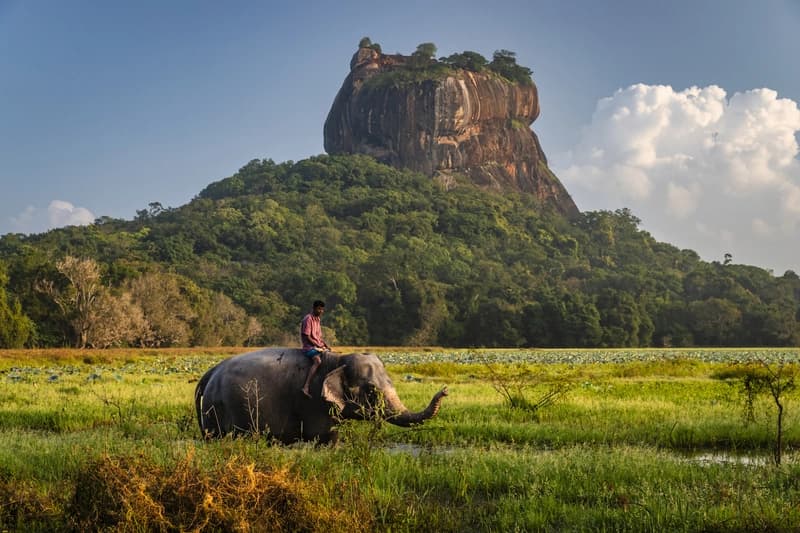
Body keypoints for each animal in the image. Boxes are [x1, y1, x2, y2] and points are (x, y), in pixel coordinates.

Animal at [194, 348, 448, 444]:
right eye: (372, 391)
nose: (444, 390)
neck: (337, 359)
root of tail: (210, 372)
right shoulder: (314, 404)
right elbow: (325, 435)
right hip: (216, 409)